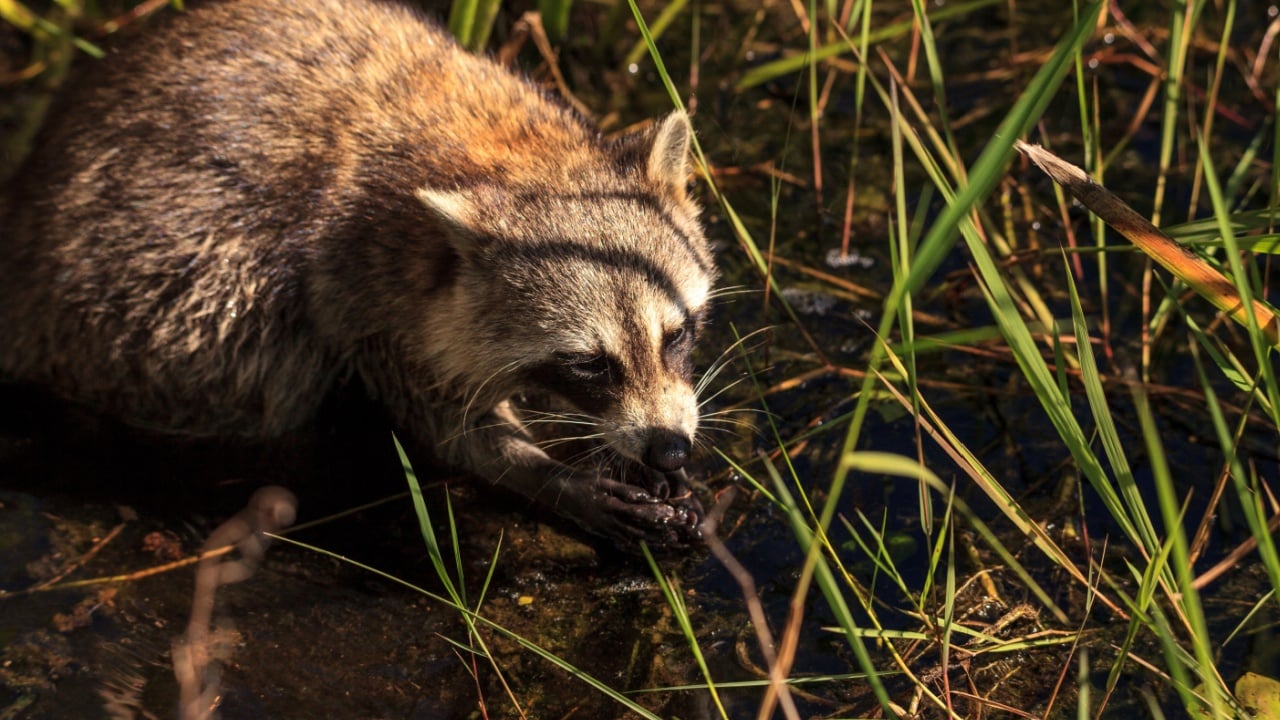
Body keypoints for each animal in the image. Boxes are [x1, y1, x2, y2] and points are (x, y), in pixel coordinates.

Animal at [0, 0, 715, 547]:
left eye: (677, 334)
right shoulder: (358, 285)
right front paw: (548, 476)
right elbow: (446, 426)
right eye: (589, 364)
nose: (669, 448)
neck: (516, 157)